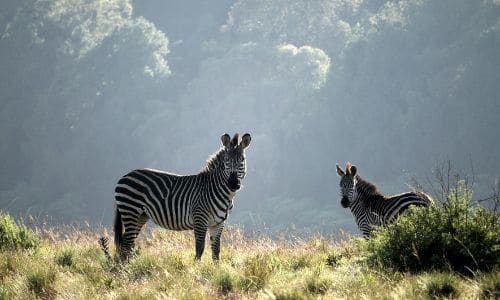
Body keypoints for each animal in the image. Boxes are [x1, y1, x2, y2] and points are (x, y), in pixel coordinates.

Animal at [109, 132, 250, 262]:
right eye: (226, 160)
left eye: (242, 160)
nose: (233, 183)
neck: (222, 192)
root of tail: (125, 176)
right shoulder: (200, 219)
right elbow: (200, 248)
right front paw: (196, 270)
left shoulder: (218, 223)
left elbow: (216, 251)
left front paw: (216, 270)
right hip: (130, 210)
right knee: (126, 243)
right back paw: (125, 268)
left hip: (140, 216)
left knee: (127, 243)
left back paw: (127, 266)